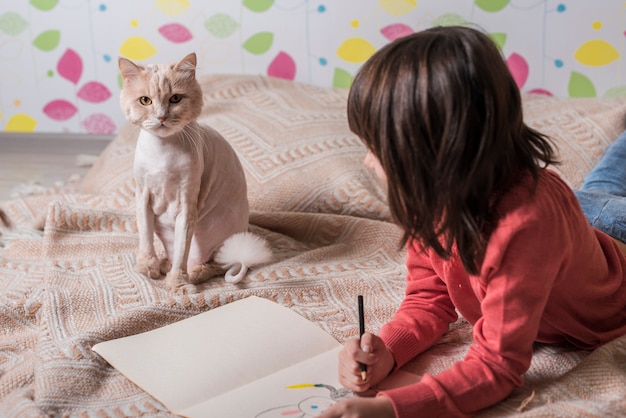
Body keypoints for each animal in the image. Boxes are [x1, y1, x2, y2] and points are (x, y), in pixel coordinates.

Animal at [118, 52, 270, 292]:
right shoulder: (142, 195)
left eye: (175, 99)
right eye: (145, 101)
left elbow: (182, 251)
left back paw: (195, 273)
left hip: (223, 238)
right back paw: (163, 263)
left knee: (216, 264)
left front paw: (178, 284)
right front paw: (147, 267)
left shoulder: (186, 204)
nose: (161, 117)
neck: (162, 151)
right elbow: (146, 238)